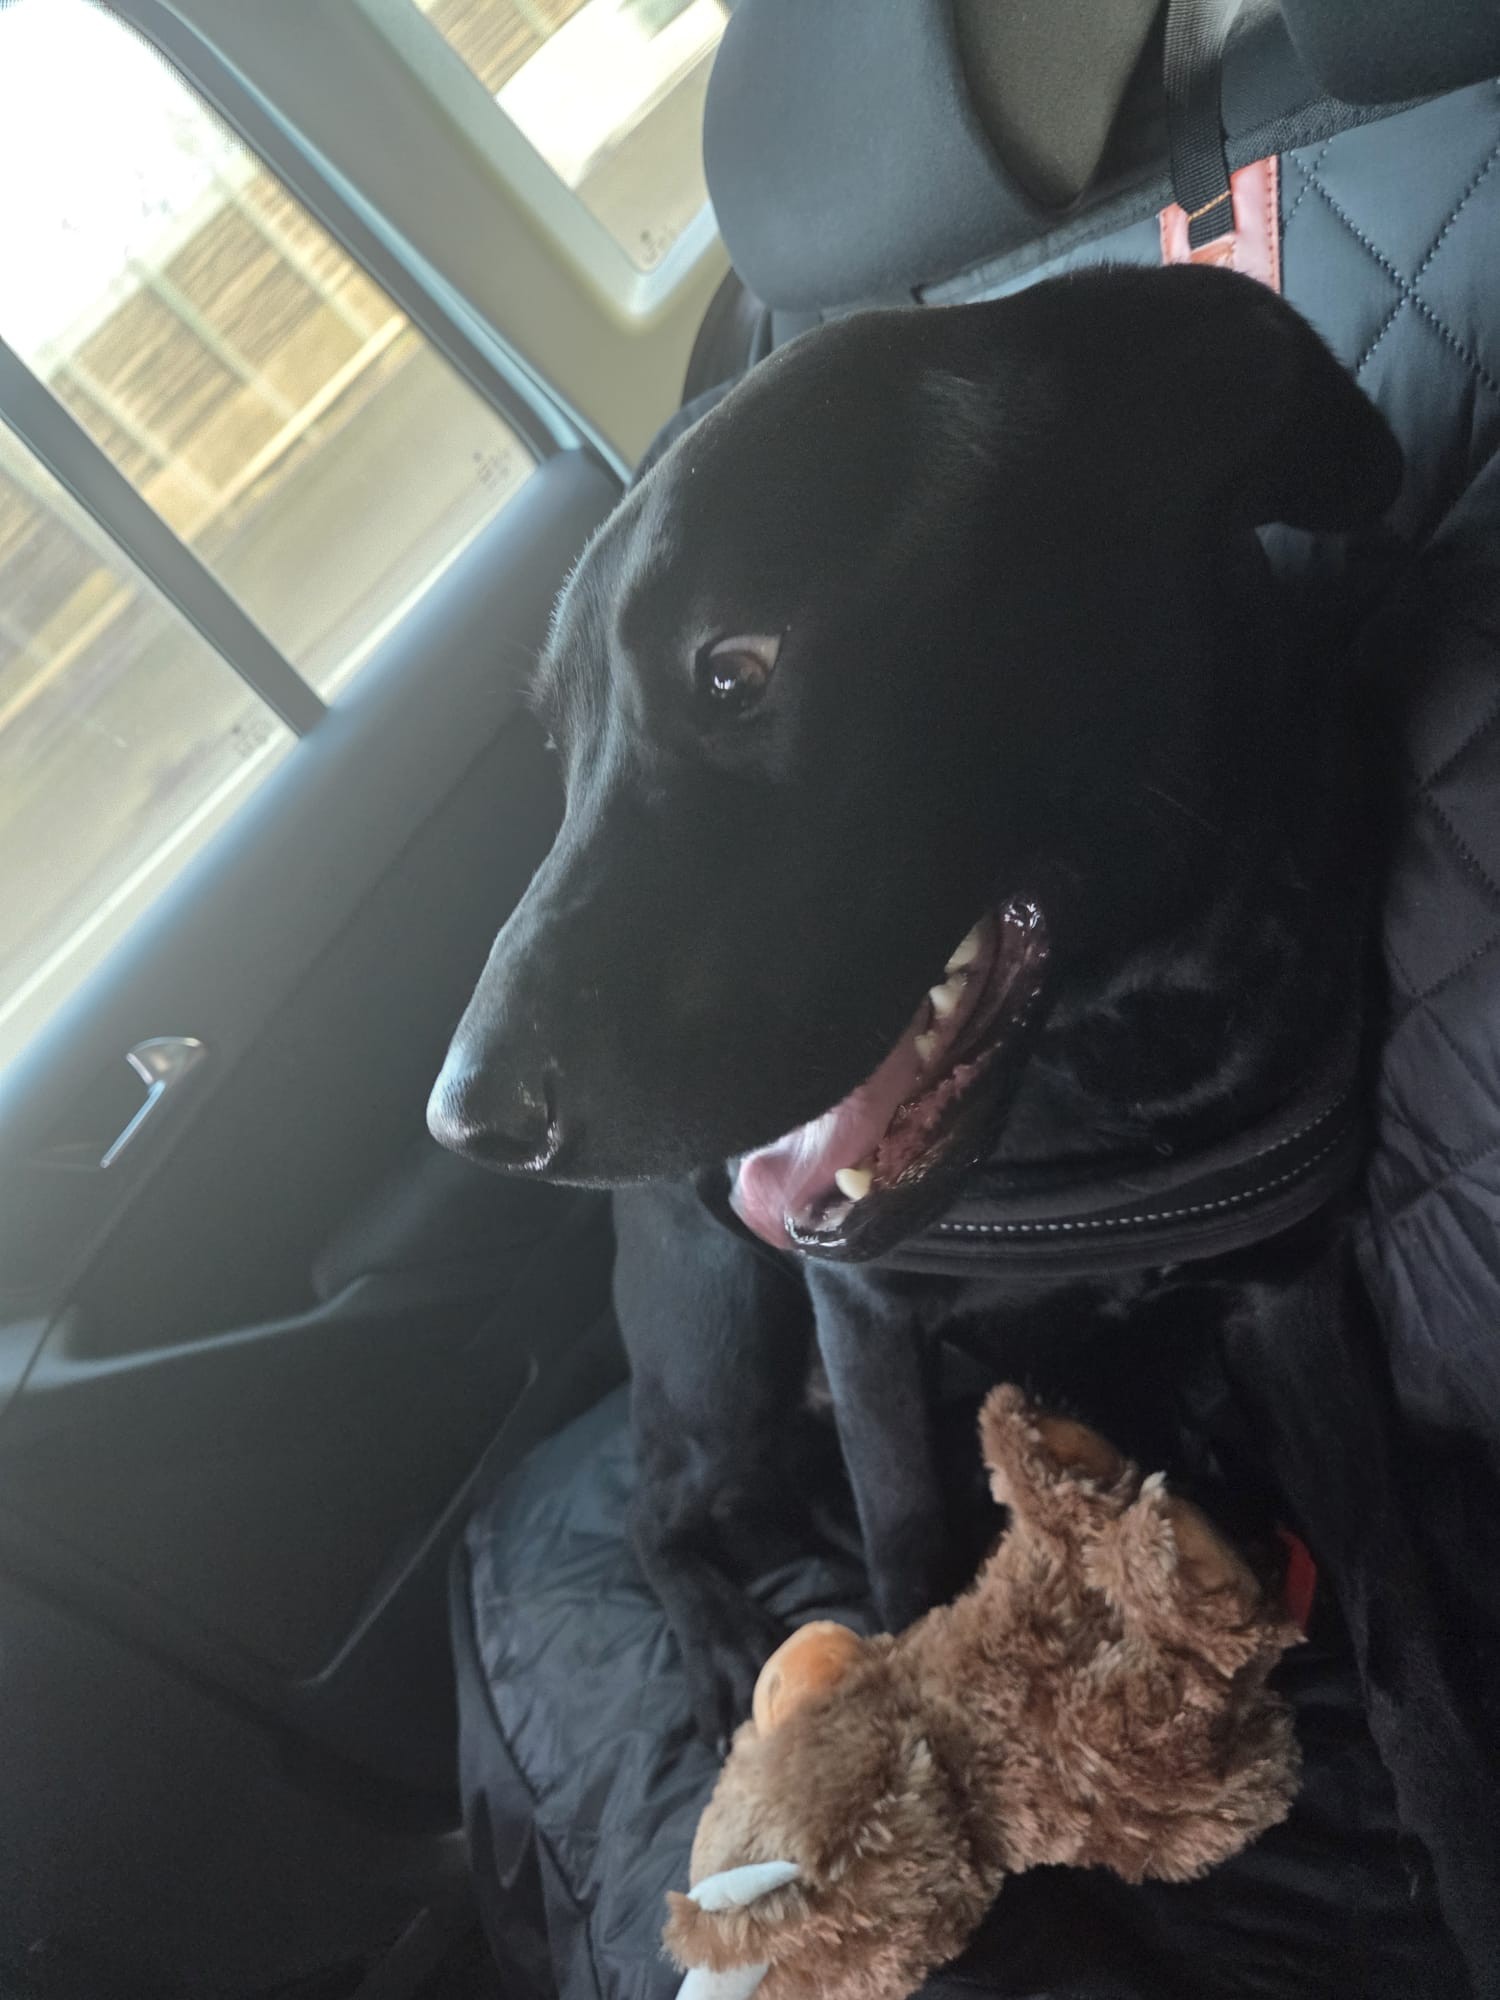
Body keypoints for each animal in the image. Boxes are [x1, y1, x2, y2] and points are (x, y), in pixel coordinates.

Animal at [429, 265, 1404, 1748]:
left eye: (738, 664)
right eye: (559, 741)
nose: (467, 1121)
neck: (1104, 1068)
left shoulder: (1292, 1298)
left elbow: (1423, 1642)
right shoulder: (863, 1317)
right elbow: (904, 1550)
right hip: (726, 1348)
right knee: (658, 1510)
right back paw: (725, 1648)